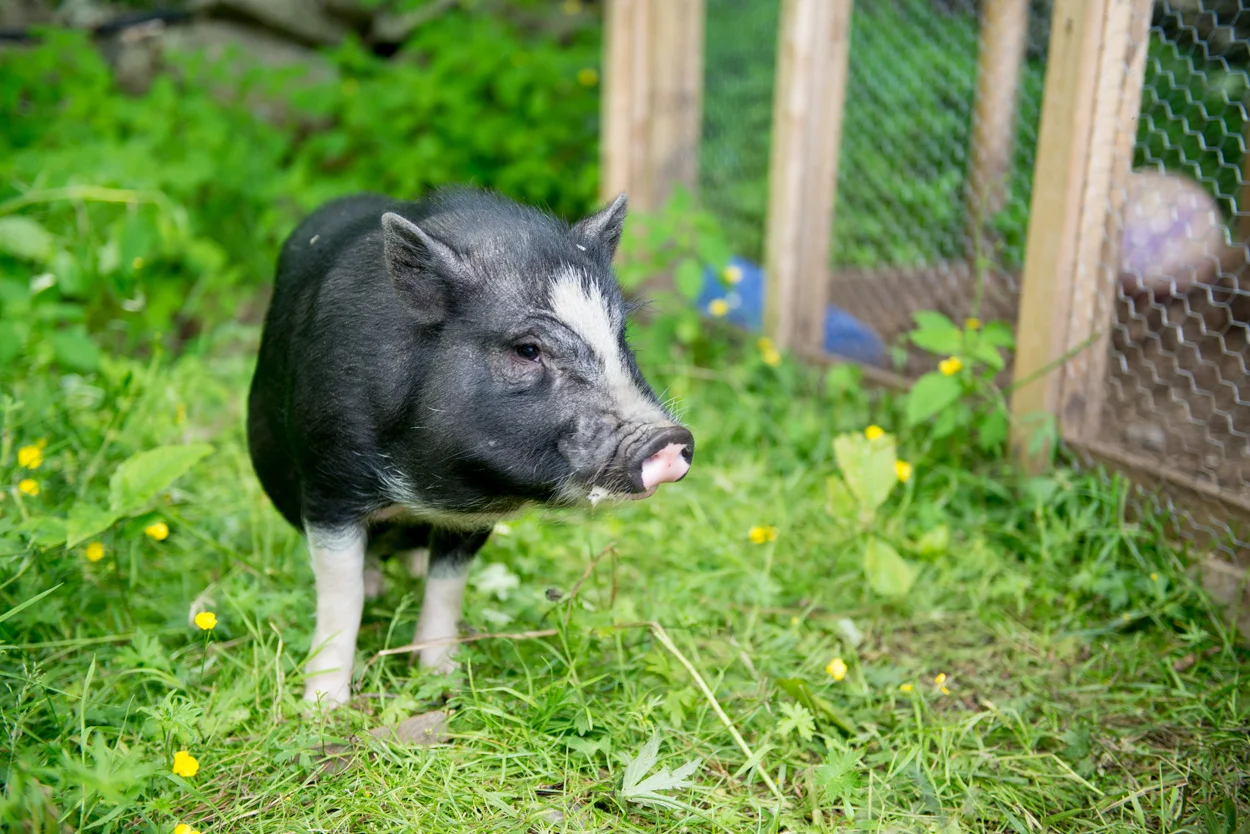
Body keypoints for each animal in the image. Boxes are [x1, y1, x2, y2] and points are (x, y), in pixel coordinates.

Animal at [246, 186, 694, 707]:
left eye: (622, 339)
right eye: (527, 349)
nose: (670, 438)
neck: (426, 486)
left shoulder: (471, 518)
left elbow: (447, 586)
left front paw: (443, 680)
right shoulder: (328, 485)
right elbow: (342, 595)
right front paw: (322, 708)